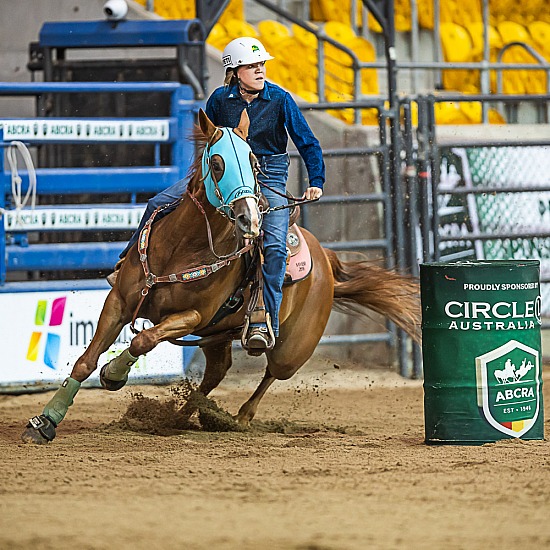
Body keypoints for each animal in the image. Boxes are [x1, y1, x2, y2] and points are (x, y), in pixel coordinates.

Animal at [20, 110, 418, 446]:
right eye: (216, 162)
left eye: (254, 163)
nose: (250, 219)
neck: (181, 247)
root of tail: (326, 259)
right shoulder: (119, 301)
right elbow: (86, 360)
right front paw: (45, 421)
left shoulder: (192, 317)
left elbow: (142, 340)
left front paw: (114, 374)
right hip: (217, 336)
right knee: (216, 373)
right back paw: (183, 416)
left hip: (293, 347)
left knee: (271, 373)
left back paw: (238, 417)